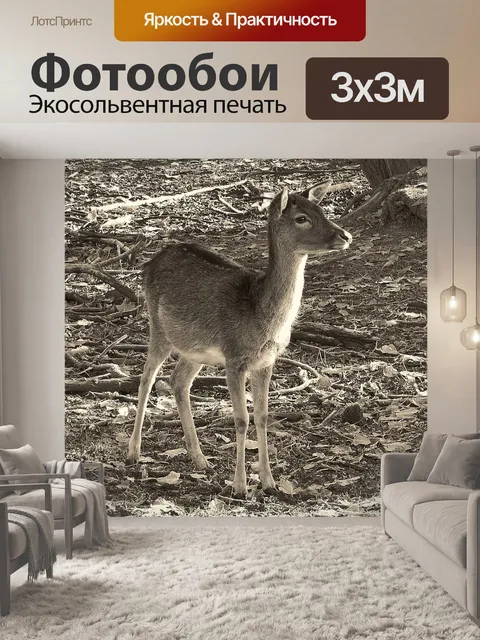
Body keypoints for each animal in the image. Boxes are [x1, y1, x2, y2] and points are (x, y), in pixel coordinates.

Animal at [127, 180, 352, 497]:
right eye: (302, 218)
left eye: (321, 210)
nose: (345, 235)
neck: (261, 316)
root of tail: (149, 264)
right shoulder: (234, 359)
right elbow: (241, 419)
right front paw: (239, 486)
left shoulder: (267, 361)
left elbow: (263, 416)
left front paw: (269, 483)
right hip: (158, 328)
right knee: (146, 378)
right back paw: (133, 452)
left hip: (195, 348)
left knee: (178, 381)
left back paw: (199, 458)